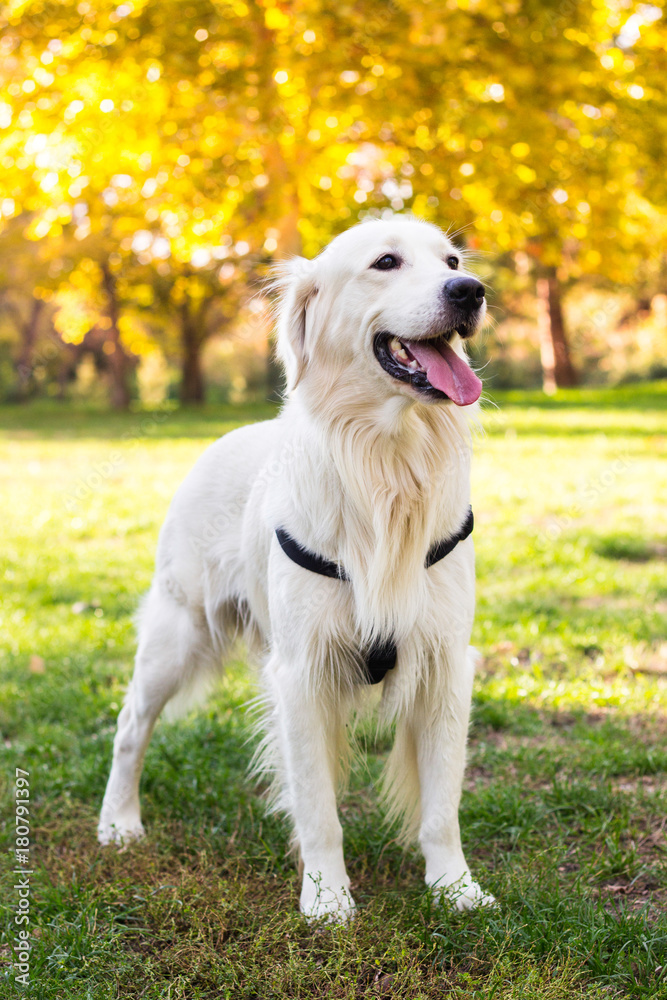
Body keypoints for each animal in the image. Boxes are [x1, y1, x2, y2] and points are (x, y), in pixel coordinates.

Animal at [99, 217, 496, 920]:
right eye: (386, 262)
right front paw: (328, 898)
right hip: (177, 634)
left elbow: (441, 805)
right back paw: (119, 822)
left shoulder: (446, 662)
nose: (470, 291)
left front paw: (455, 887)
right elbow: (317, 807)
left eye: (452, 260)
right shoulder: (302, 671)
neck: (385, 464)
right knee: (128, 728)